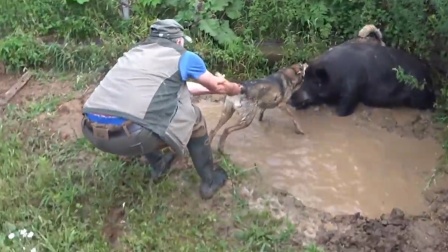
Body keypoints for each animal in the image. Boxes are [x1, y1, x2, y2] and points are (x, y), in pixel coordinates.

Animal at [288, 42, 436, 116]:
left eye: (316, 82)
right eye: (304, 78)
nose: (291, 98)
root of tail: (428, 75)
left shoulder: (352, 89)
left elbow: (342, 110)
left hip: (419, 97)